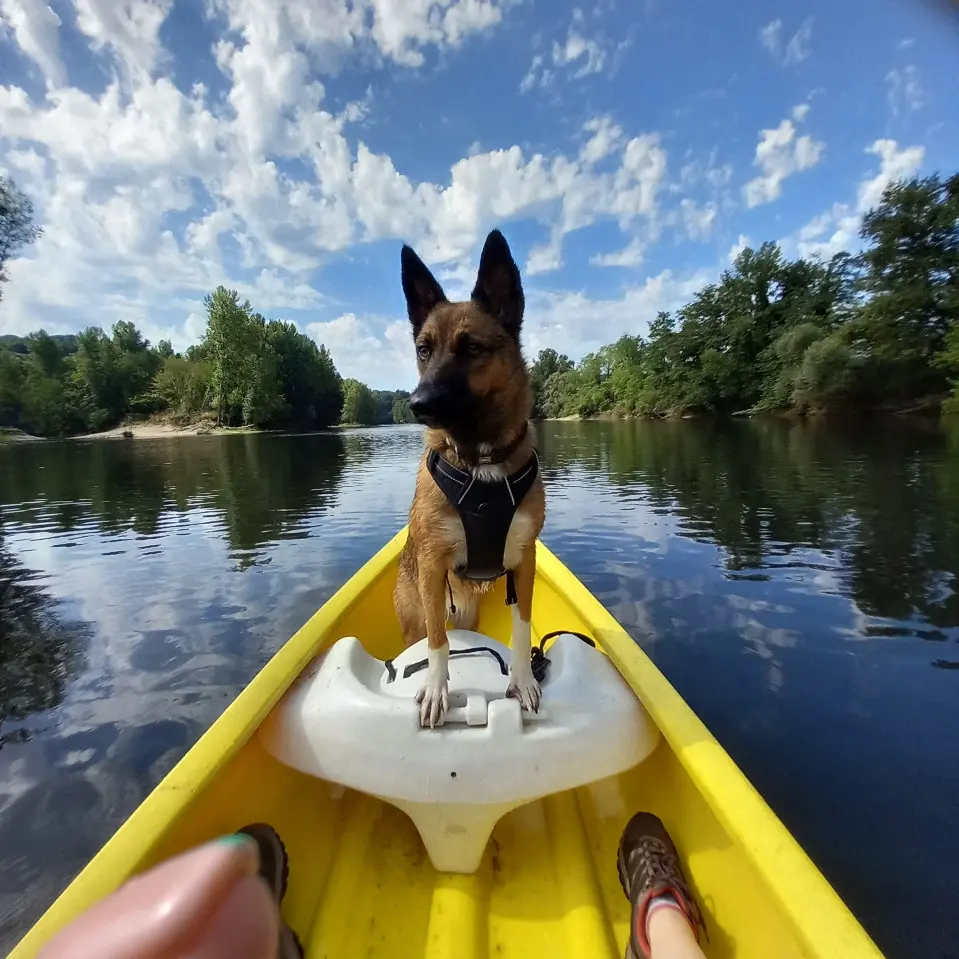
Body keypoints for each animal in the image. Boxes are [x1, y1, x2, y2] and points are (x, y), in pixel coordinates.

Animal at [394, 231, 548, 728]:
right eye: (424, 350)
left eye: (472, 349)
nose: (416, 404)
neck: (480, 461)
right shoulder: (433, 567)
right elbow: (438, 643)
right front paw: (436, 689)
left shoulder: (524, 561)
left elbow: (522, 628)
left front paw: (523, 681)